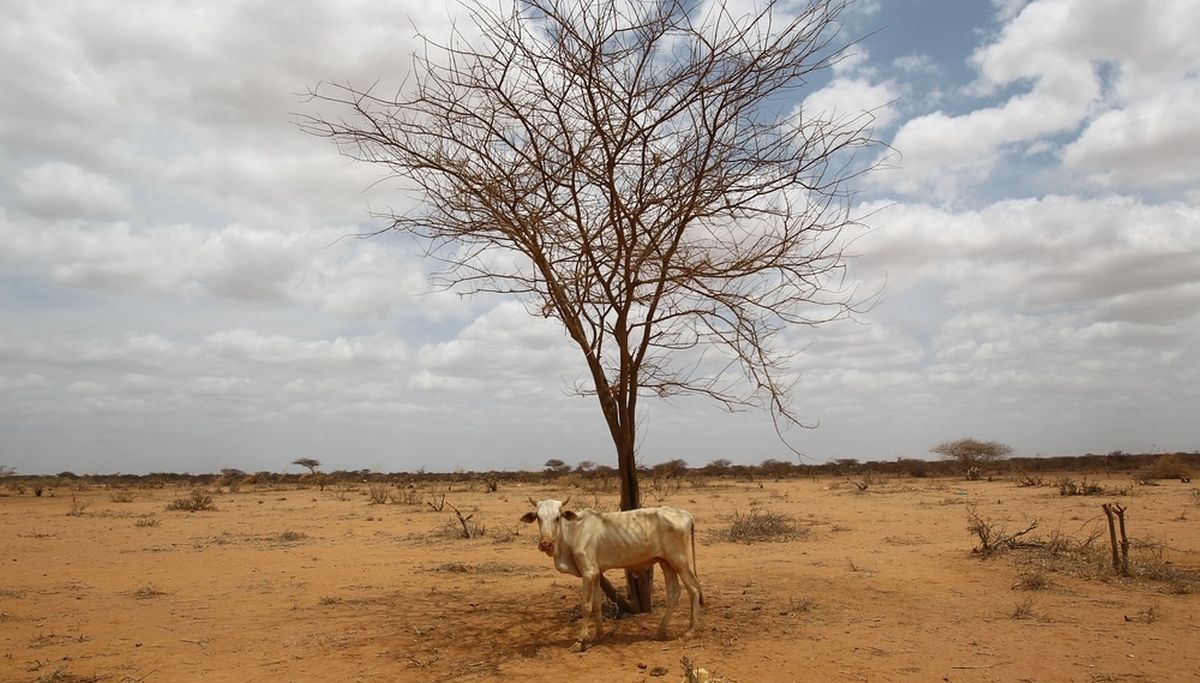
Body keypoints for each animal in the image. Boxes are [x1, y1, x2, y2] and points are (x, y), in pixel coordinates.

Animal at [518, 494, 700, 648]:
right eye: (538, 518)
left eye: (557, 517)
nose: (545, 543)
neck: (574, 531)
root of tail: (686, 515)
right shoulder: (597, 573)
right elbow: (597, 604)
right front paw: (598, 635)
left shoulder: (588, 572)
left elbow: (586, 606)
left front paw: (580, 641)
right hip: (666, 562)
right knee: (674, 592)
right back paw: (660, 632)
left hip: (679, 561)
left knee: (694, 589)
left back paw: (690, 632)